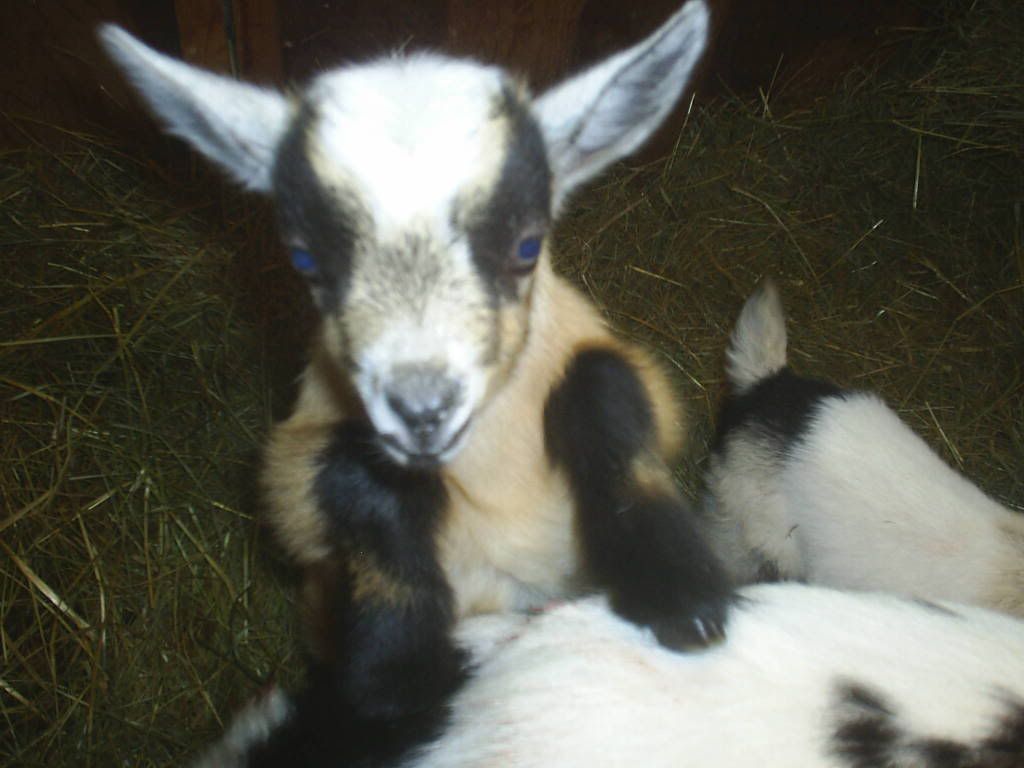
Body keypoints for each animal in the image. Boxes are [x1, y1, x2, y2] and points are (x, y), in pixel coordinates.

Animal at [99, 0, 732, 742]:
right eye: (306, 261)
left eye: (527, 246)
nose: (424, 409)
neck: (493, 478)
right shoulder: (295, 472)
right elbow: (350, 480)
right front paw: (398, 668)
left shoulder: (629, 377)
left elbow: (605, 385)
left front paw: (679, 591)